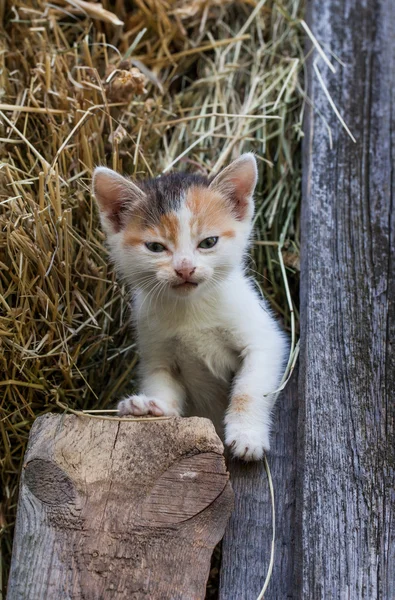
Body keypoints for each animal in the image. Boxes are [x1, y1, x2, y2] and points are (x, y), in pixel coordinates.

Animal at [93, 154, 288, 460]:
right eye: (155, 247)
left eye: (208, 242)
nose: (184, 268)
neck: (190, 308)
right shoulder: (156, 354)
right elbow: (162, 383)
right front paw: (152, 406)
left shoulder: (265, 340)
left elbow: (250, 388)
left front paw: (247, 435)